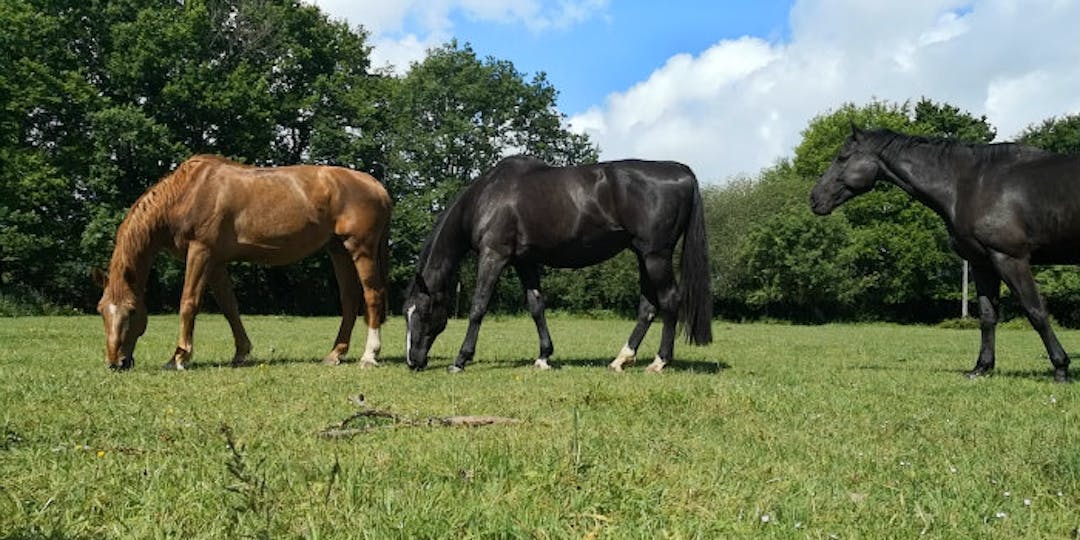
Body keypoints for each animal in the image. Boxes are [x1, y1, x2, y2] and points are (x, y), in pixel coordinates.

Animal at [93, 154, 393, 369]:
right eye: (100, 310)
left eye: (132, 311)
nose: (115, 363)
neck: (187, 193)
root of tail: (376, 185)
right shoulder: (216, 263)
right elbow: (230, 307)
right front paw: (241, 352)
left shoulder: (200, 252)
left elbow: (188, 303)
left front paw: (178, 357)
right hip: (339, 250)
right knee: (350, 300)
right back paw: (335, 354)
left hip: (361, 249)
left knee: (373, 295)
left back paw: (369, 355)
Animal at [401, 155, 712, 371]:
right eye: (406, 313)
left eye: (424, 313)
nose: (413, 362)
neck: (487, 196)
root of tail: (682, 172)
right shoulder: (525, 263)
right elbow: (536, 306)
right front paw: (544, 357)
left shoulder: (494, 256)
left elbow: (478, 307)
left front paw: (460, 360)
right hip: (642, 255)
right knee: (648, 307)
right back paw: (621, 360)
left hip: (655, 256)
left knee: (670, 300)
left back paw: (659, 361)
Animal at [812, 124, 1080, 382]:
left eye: (843, 157)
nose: (814, 198)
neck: (971, 184)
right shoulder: (982, 264)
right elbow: (987, 316)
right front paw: (981, 368)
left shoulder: (1010, 259)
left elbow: (1036, 312)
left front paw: (1061, 368)